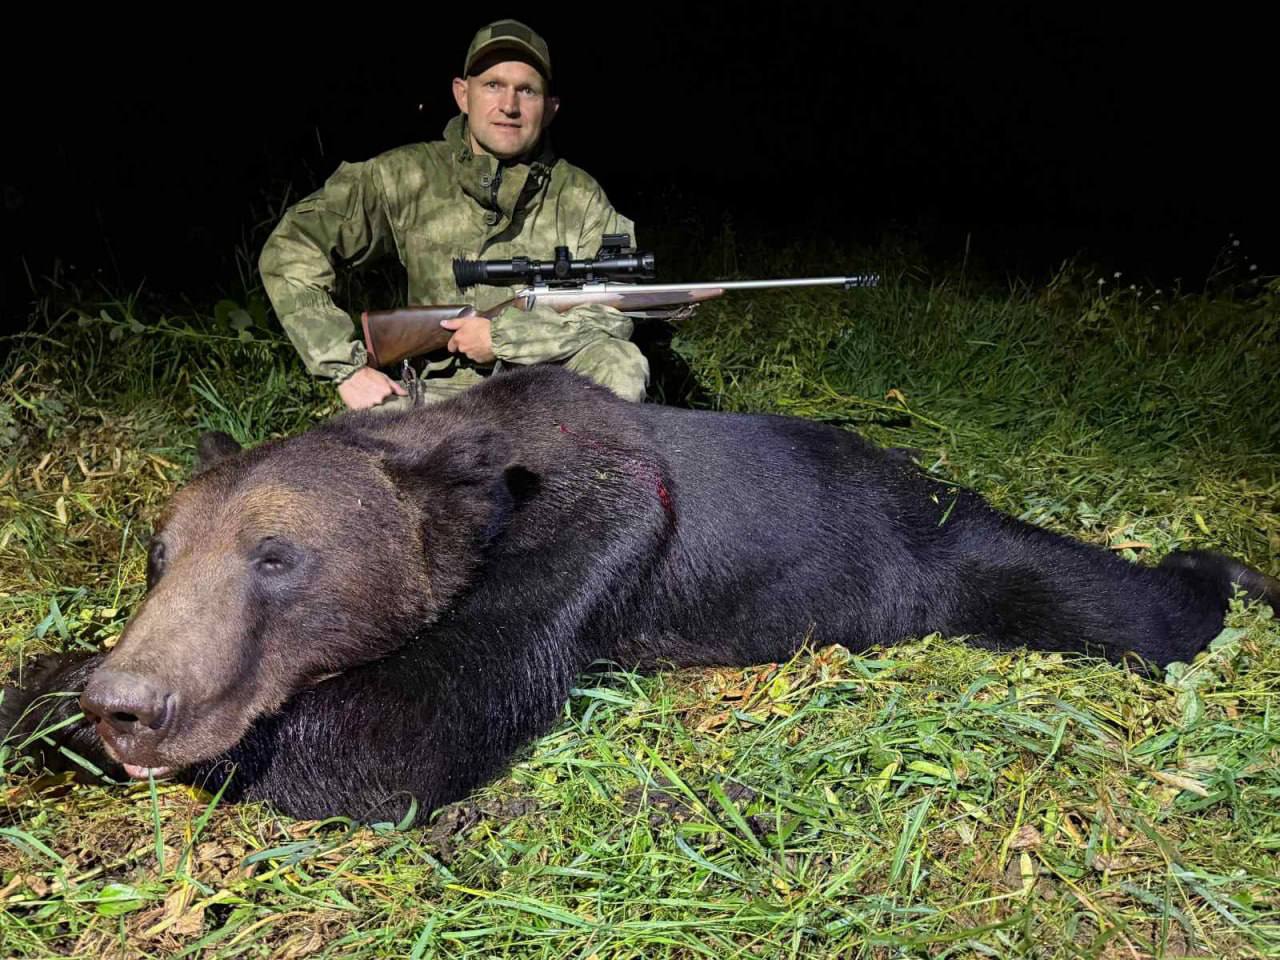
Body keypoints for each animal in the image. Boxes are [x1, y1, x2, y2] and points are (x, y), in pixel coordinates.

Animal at [2, 365, 1276, 825]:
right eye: (158, 554)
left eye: (276, 556)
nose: (134, 705)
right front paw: (51, 688)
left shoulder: (587, 538)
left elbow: (387, 739)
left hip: (936, 557)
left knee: (1107, 605)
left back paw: (1218, 568)